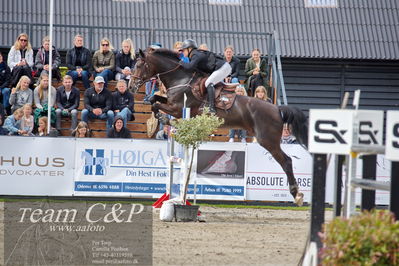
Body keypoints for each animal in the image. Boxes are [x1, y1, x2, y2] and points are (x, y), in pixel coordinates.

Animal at [130, 48, 310, 206]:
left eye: (139, 66)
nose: (131, 86)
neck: (180, 79)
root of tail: (277, 109)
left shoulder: (177, 109)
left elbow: (156, 105)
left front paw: (163, 118)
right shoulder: (170, 103)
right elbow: (154, 99)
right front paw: (159, 116)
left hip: (268, 140)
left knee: (286, 161)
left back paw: (297, 194)